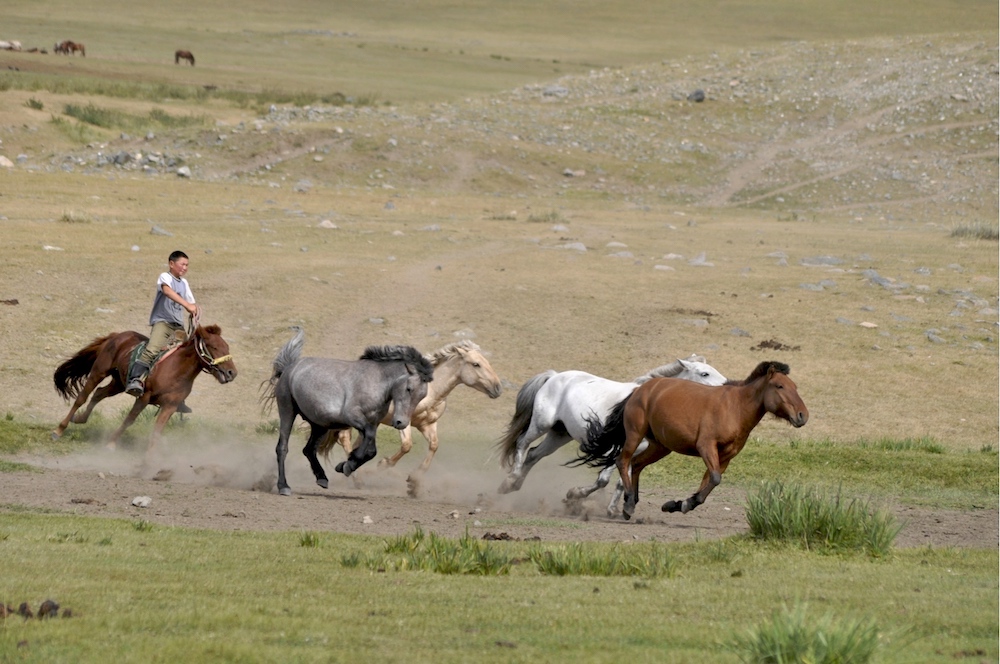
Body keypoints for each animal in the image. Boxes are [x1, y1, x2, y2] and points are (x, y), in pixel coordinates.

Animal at [260, 330, 432, 496]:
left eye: (422, 395)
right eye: (409, 389)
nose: (401, 423)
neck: (376, 382)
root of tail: (289, 368)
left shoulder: (372, 423)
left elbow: (371, 450)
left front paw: (345, 465)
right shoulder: (354, 418)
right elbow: (368, 441)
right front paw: (348, 465)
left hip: (320, 425)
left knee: (308, 449)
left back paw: (322, 478)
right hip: (287, 411)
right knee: (282, 448)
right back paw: (283, 486)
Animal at [320, 340, 504, 474]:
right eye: (476, 364)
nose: (498, 388)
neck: (431, 392)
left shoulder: (427, 424)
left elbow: (434, 445)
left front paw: (416, 479)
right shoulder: (403, 421)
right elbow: (407, 445)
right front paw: (384, 464)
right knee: (344, 437)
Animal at [498, 356, 728, 510]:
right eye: (704, 373)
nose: (726, 387)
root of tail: (554, 376)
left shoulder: (635, 452)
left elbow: (621, 480)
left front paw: (614, 509)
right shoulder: (616, 448)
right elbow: (604, 480)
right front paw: (574, 495)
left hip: (559, 434)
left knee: (533, 454)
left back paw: (514, 485)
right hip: (541, 424)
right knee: (522, 444)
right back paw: (510, 480)